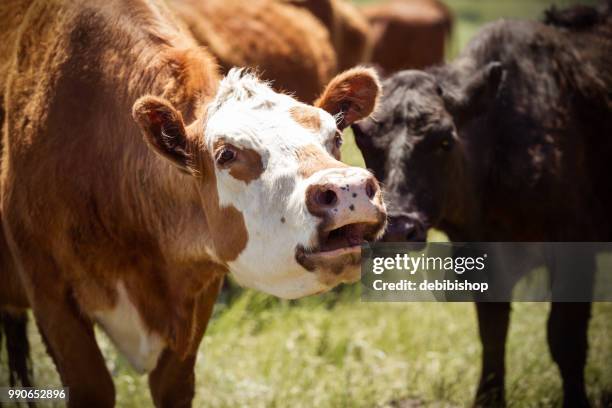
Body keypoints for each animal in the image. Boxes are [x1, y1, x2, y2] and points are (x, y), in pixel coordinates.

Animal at [352, 3, 612, 408]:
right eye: (362, 139)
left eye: (445, 140)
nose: (396, 229)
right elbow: (492, 333)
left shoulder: (575, 248)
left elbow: (565, 339)